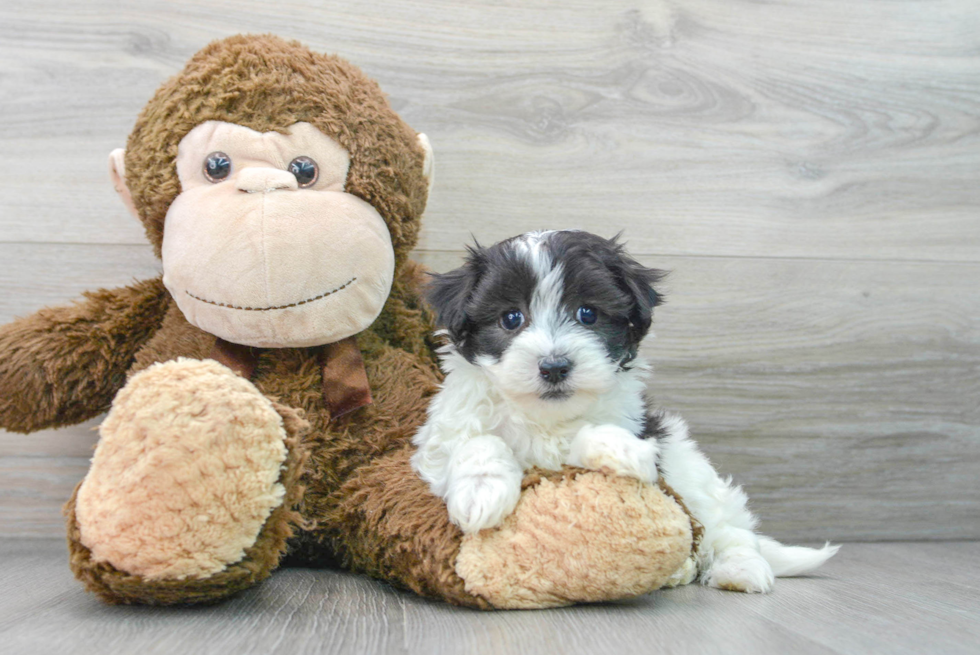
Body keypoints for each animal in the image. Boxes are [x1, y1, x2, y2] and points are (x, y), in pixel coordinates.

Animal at [410, 232, 840, 596]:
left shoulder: (638, 432)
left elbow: (605, 438)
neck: (545, 417)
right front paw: (481, 491)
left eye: (587, 314)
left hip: (696, 478)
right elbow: (478, 441)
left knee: (728, 528)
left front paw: (622, 451)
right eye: (511, 318)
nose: (554, 366)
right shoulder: (437, 444)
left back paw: (739, 569)